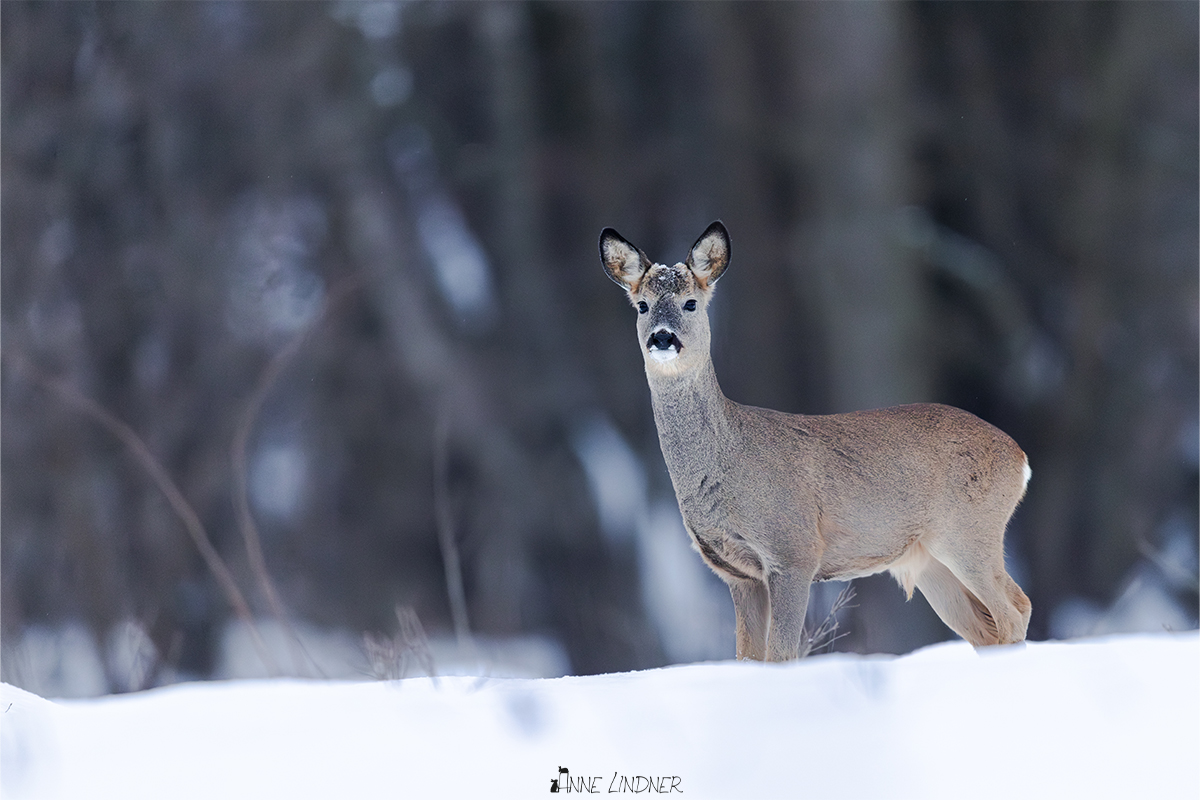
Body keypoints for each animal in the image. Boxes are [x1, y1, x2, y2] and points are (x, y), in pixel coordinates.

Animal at [599, 221, 1032, 662]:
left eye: (690, 303)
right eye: (642, 306)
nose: (662, 338)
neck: (728, 461)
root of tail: (1020, 457)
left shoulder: (794, 550)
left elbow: (781, 656)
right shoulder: (736, 573)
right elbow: (748, 658)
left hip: (968, 532)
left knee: (1016, 609)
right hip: (930, 563)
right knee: (989, 629)